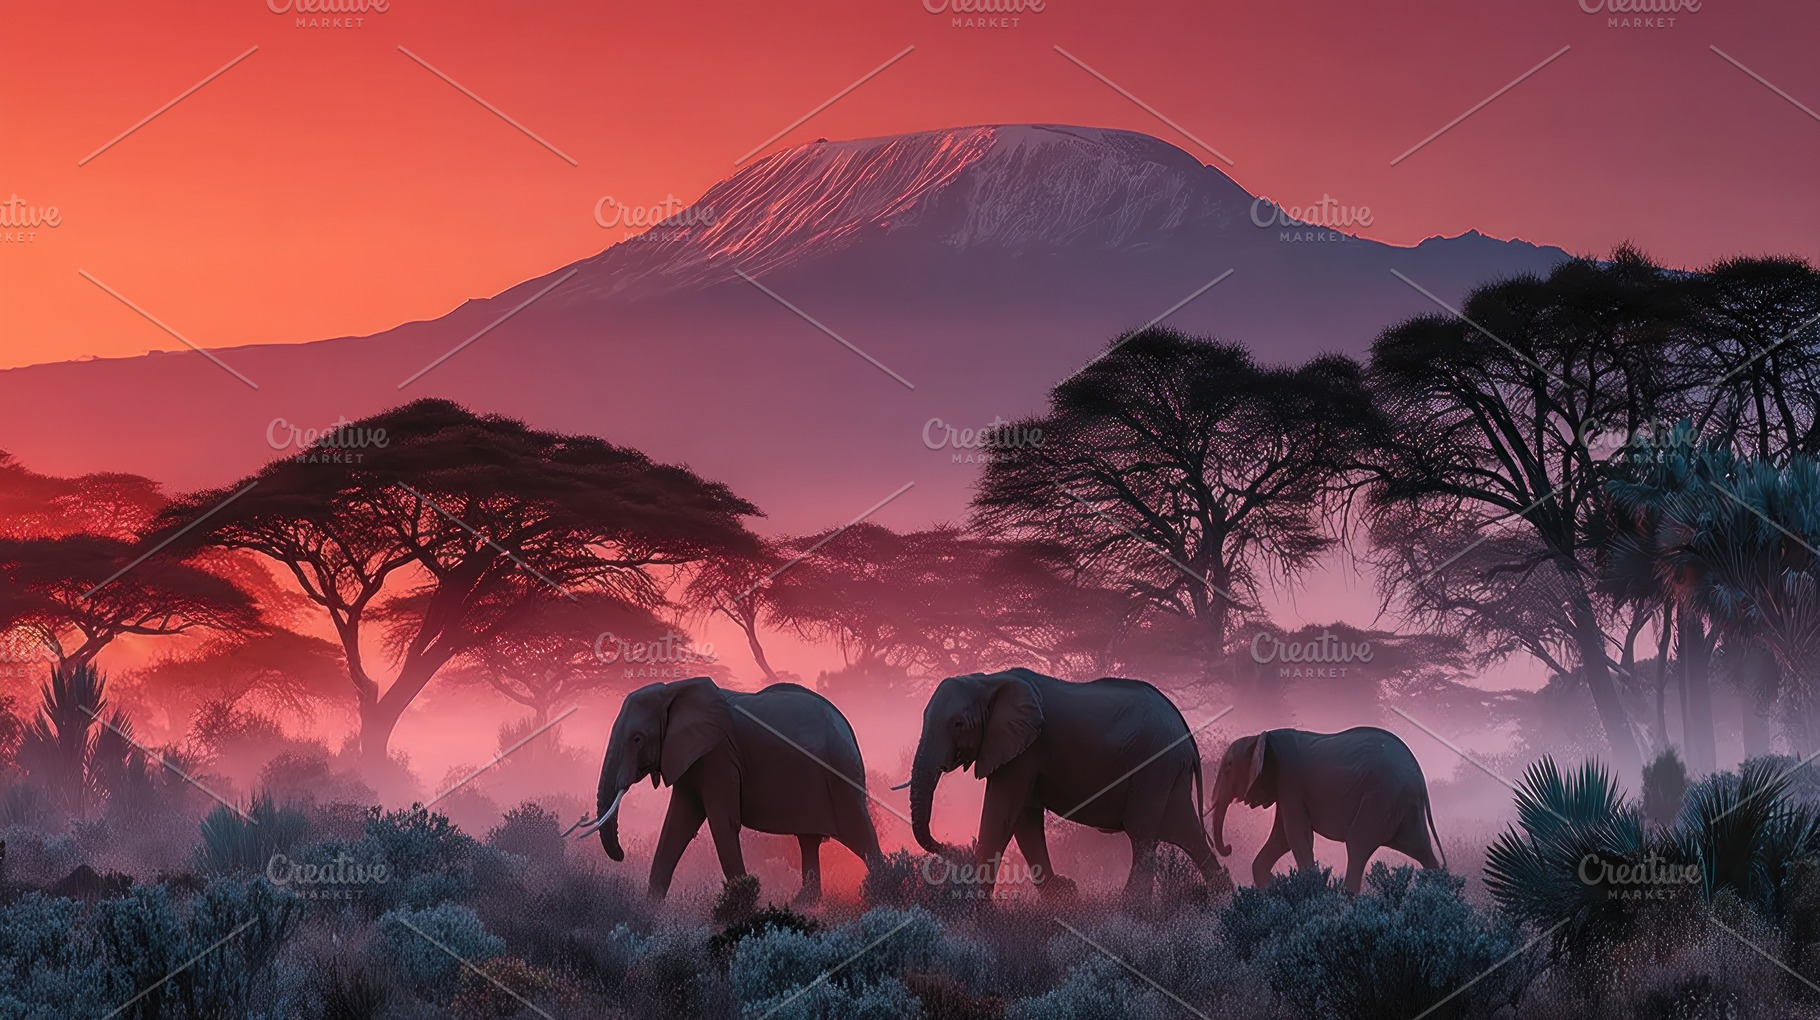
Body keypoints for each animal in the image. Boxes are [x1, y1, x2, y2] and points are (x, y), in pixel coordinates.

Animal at [569, 676, 881, 904]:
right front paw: (649, 914)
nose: (621, 855)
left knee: (861, 836)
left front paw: (749, 910)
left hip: (840, 773)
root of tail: (847, 728)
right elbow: (676, 827)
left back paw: (883, 895)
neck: (673, 690)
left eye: (637, 739)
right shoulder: (692, 759)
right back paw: (803, 904)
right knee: (809, 840)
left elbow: (723, 824)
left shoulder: (717, 756)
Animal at [905, 667, 1231, 902]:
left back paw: (1130, 911)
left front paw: (977, 909)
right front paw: (1062, 898)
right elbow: (1025, 819)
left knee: (1143, 834)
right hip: (1168, 770)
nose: (948, 845)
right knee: (1184, 831)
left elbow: (1002, 815)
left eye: (958, 724)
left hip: (1153, 764)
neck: (988, 680)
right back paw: (1222, 898)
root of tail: (1185, 731)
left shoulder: (1024, 751)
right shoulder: (1023, 752)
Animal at [1210, 726, 1445, 894]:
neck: (1262, 736)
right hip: (1403, 805)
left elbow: (1297, 838)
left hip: (1380, 799)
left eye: (1229, 765)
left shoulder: (1290, 781)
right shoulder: (1284, 787)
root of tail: (1419, 776)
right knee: (1420, 848)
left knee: (1358, 845)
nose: (1228, 848)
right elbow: (1282, 839)